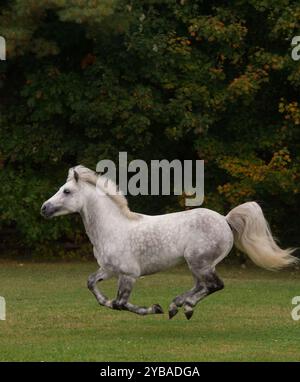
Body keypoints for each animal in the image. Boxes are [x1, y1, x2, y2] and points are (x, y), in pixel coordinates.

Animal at [40, 166, 298, 318]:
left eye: (66, 191)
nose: (44, 208)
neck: (112, 228)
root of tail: (225, 220)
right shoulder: (109, 269)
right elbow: (92, 284)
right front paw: (105, 301)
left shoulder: (128, 274)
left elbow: (121, 303)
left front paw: (154, 308)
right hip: (198, 265)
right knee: (201, 286)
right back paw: (178, 305)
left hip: (200, 262)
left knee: (214, 285)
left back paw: (184, 307)